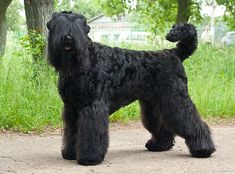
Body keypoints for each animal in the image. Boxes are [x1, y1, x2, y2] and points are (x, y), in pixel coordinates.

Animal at [46, 11, 216, 166]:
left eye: (78, 28)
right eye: (60, 25)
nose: (68, 38)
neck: (84, 62)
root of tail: (175, 53)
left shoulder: (92, 108)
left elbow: (91, 134)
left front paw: (89, 158)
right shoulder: (71, 109)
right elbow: (72, 132)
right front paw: (70, 153)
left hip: (176, 100)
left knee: (194, 123)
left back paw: (203, 149)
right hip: (154, 104)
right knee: (161, 125)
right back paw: (159, 145)